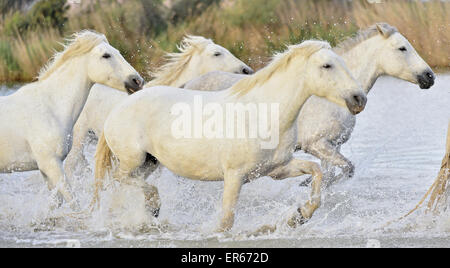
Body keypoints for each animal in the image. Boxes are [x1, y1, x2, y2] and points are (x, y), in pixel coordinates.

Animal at [0, 30, 143, 207]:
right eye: (106, 55)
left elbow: (56, 204)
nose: (137, 81)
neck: (51, 107)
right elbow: (74, 202)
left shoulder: (46, 170)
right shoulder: (51, 165)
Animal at [94, 40, 366, 231]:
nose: (359, 99)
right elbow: (226, 221)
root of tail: (117, 109)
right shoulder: (235, 176)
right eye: (327, 65)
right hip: (133, 160)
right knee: (122, 179)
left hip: (150, 163)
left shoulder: (276, 169)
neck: (264, 112)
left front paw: (299, 217)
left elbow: (317, 172)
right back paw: (153, 206)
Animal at [183, 23, 436, 184]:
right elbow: (346, 169)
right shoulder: (316, 144)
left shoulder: (333, 146)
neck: (333, 95)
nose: (430, 77)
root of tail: (187, 85)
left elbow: (334, 174)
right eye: (402, 48)